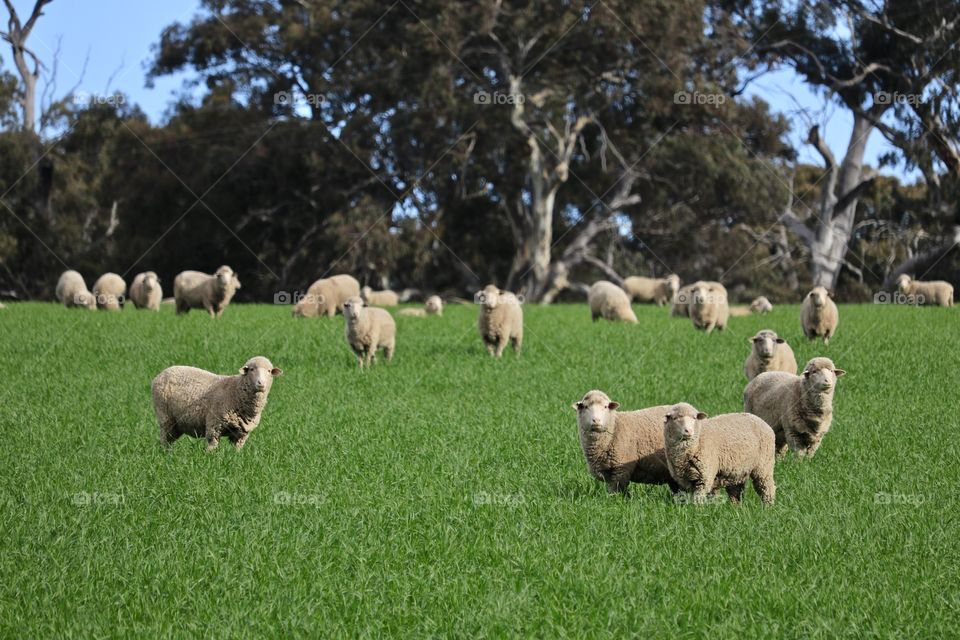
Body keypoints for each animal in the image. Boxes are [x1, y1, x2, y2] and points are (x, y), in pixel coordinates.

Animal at [151, 356, 282, 452]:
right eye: (251, 369)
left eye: (269, 371)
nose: (261, 383)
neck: (235, 390)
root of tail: (163, 372)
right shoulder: (214, 425)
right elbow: (212, 446)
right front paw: (210, 459)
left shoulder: (241, 434)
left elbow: (236, 451)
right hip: (165, 416)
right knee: (164, 439)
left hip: (177, 424)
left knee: (170, 440)